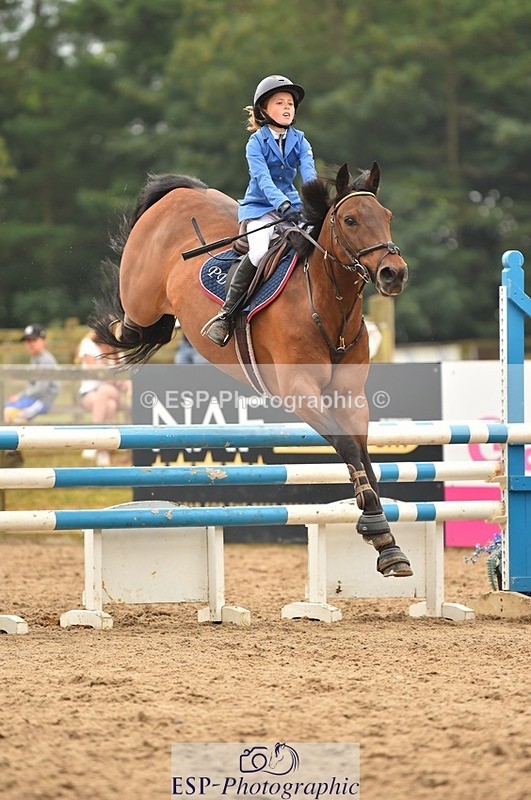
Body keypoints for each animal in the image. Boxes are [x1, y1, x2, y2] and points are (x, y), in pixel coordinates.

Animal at [91, 162, 412, 577]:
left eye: (386, 217)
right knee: (130, 324)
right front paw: (375, 528)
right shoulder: (299, 391)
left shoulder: (350, 395)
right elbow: (345, 446)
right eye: (351, 220)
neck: (329, 306)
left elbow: (363, 456)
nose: (394, 273)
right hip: (141, 299)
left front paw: (386, 541)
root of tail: (182, 192)